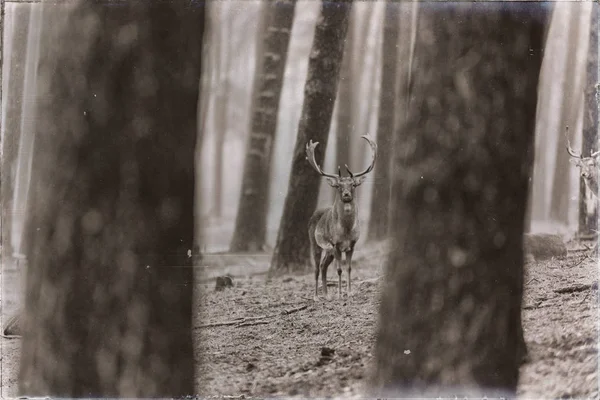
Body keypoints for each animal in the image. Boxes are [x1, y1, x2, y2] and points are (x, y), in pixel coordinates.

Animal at [308, 134, 378, 300]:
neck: (346, 230)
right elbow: (339, 270)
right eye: (339, 186)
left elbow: (349, 268)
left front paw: (350, 292)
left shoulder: (352, 244)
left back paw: (326, 294)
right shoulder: (336, 244)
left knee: (324, 265)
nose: (346, 194)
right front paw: (340, 294)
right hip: (315, 243)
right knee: (317, 268)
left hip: (329, 250)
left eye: (353, 184)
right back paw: (316, 296)